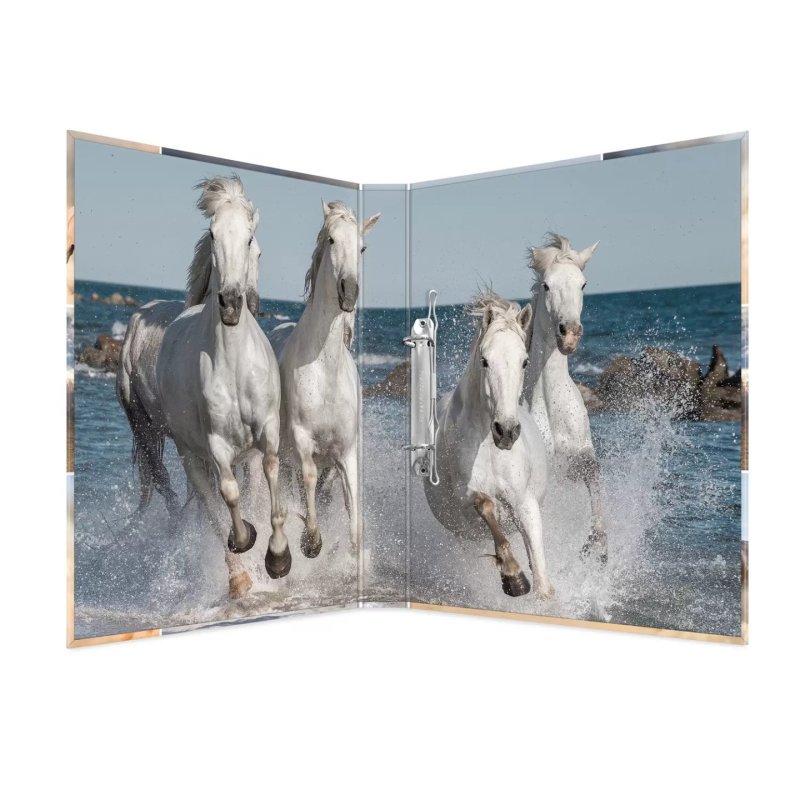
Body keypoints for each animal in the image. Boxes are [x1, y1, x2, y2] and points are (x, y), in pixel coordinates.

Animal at [156, 177, 287, 599]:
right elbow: (229, 498)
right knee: (213, 504)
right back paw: (239, 577)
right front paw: (246, 542)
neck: (233, 363)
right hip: (191, 456)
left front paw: (278, 558)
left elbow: (272, 486)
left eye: (251, 240)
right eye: (213, 234)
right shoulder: (216, 445)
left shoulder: (268, 434)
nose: (230, 303)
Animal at [269, 200, 380, 565]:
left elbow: (353, 518)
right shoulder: (303, 442)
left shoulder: (345, 453)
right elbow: (308, 479)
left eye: (362, 247)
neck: (326, 371)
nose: (350, 292)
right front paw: (311, 542)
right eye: (331, 240)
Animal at [424, 291, 554, 598]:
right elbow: (485, 505)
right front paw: (514, 577)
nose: (506, 431)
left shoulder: (524, 502)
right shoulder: (467, 496)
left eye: (524, 361)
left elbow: (542, 577)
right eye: (485, 361)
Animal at [523, 232, 607, 562]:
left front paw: (597, 543)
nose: (569, 333)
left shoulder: (578, 456)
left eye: (582, 284)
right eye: (546, 285)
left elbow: (594, 474)